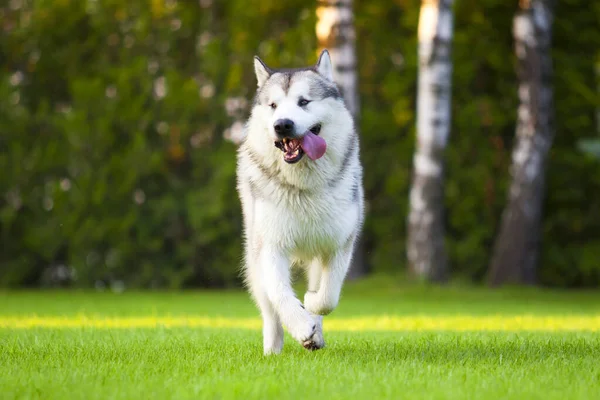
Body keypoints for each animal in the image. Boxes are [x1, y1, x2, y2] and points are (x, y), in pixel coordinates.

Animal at [237, 49, 364, 354]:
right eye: (273, 105)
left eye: (304, 102)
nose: (282, 124)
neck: (303, 187)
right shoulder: (270, 246)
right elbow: (280, 294)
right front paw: (300, 325)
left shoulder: (339, 244)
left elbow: (327, 297)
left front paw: (311, 305)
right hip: (253, 255)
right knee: (269, 309)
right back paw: (273, 348)